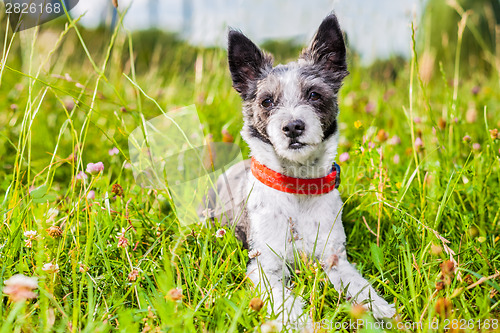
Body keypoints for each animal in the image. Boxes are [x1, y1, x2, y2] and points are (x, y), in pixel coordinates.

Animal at [201, 12, 396, 330]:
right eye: (267, 101)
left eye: (314, 95)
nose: (293, 126)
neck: (297, 185)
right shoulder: (264, 267)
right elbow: (286, 302)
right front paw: (302, 322)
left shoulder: (334, 259)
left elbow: (359, 286)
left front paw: (380, 308)